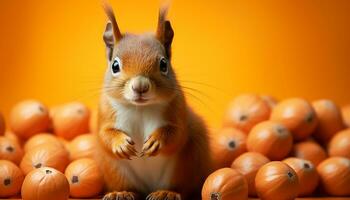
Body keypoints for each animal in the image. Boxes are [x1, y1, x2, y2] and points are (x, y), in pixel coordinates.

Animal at [94, 1, 212, 200]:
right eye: (115, 66)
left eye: (164, 64)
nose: (140, 86)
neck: (139, 108)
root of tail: (148, 187)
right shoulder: (105, 111)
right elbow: (105, 134)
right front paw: (120, 144)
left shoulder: (178, 108)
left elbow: (177, 134)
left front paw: (157, 141)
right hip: (114, 169)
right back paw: (122, 192)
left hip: (185, 164)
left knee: (181, 187)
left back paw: (167, 193)